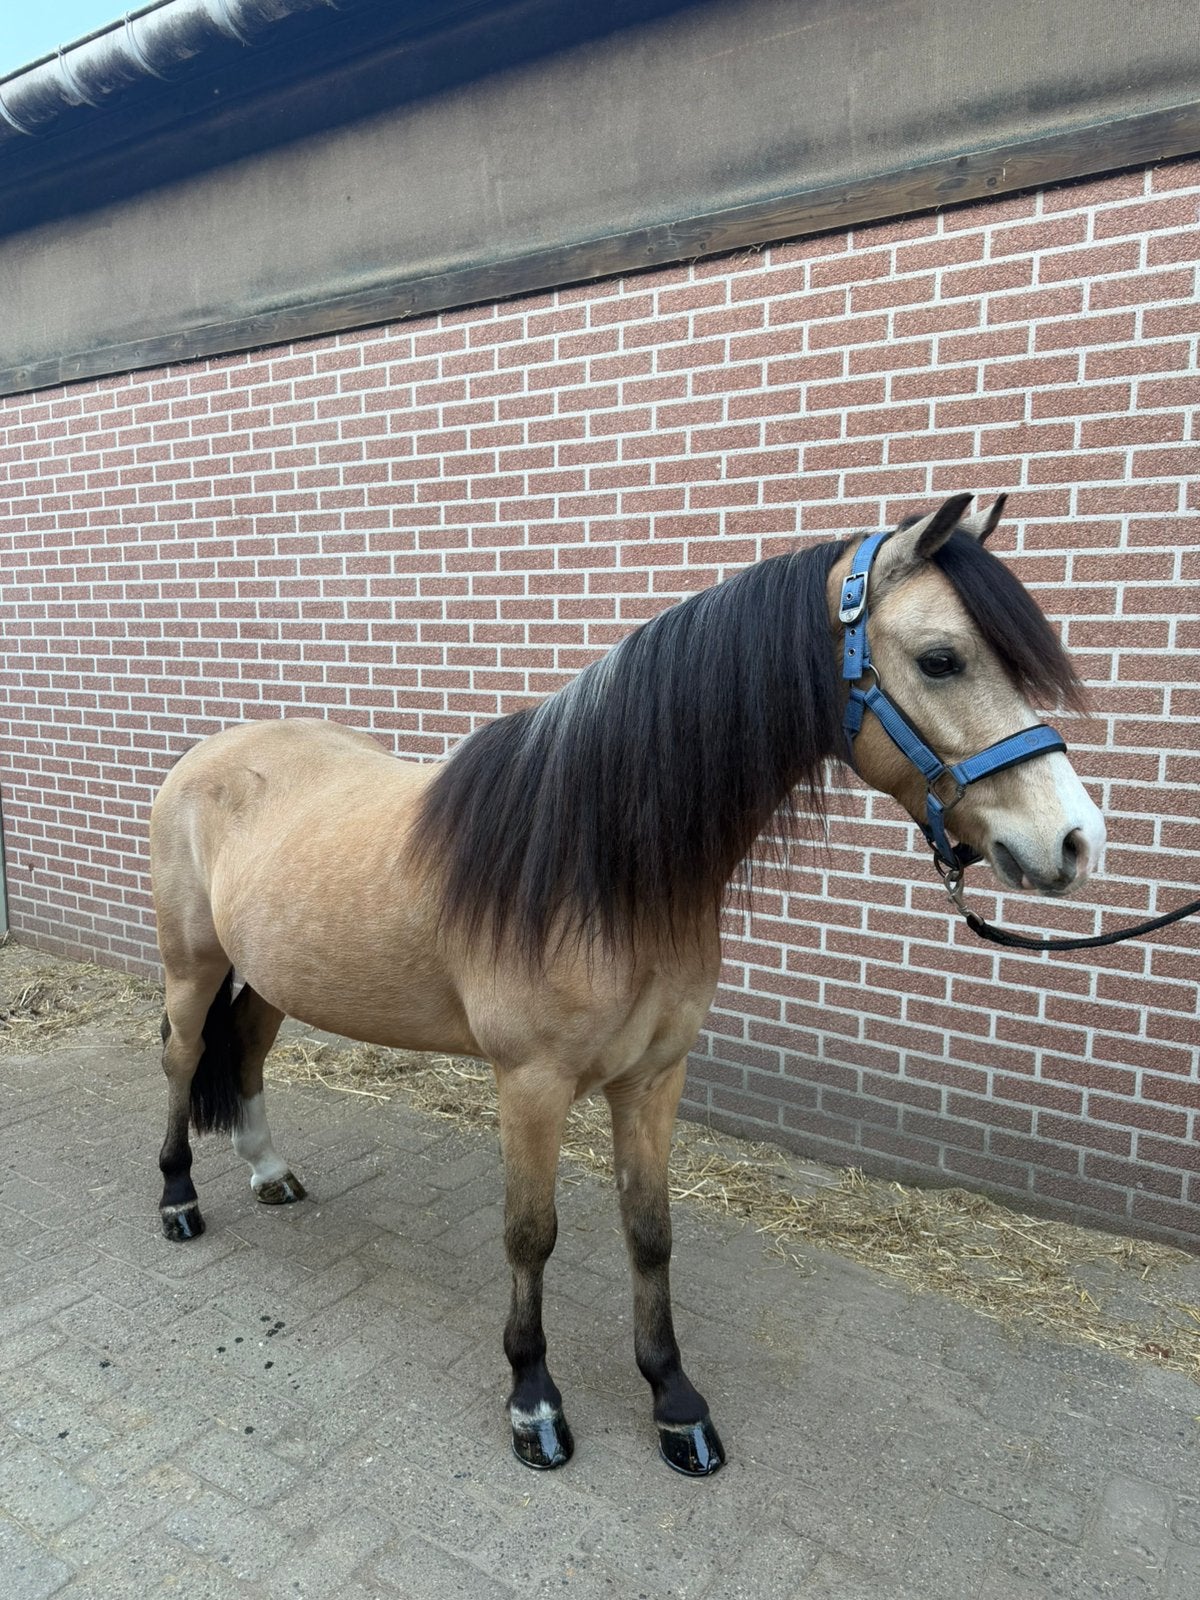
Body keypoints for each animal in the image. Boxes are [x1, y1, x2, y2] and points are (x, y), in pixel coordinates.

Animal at [149, 492, 1106, 1476]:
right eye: (942, 659)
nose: (1073, 840)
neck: (595, 863)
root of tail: (207, 754)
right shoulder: (530, 1085)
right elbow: (531, 1235)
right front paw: (534, 1403)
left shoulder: (654, 1079)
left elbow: (651, 1234)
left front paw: (674, 1403)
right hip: (193, 965)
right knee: (184, 1058)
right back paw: (179, 1200)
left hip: (271, 976)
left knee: (246, 1051)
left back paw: (269, 1171)